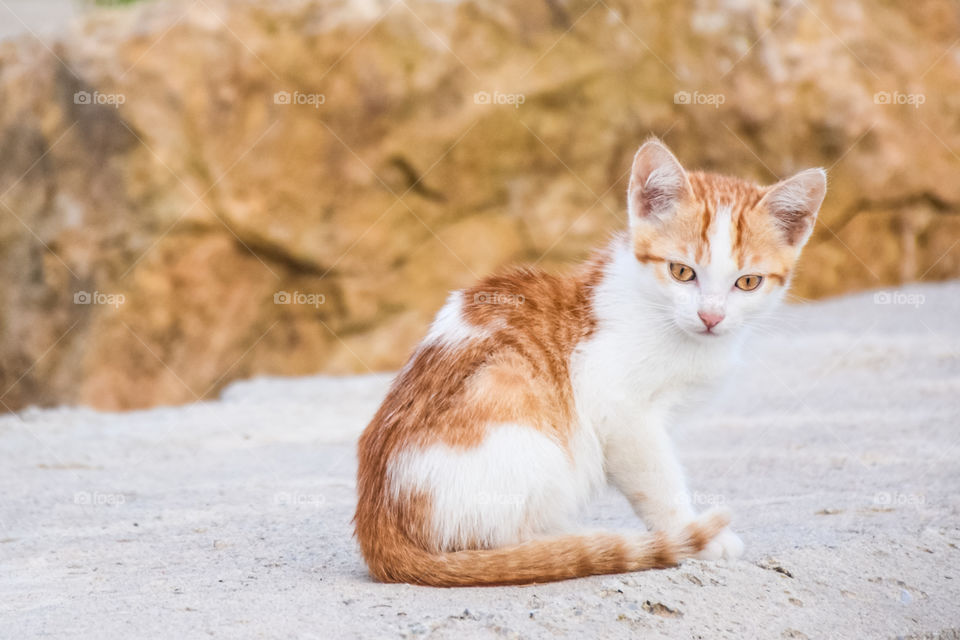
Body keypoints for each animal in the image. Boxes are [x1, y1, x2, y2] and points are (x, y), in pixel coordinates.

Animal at [352, 139, 824, 584]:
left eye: (748, 282)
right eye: (681, 272)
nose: (711, 317)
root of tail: (378, 529)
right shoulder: (619, 410)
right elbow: (658, 480)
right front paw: (692, 534)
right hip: (525, 431)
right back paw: (570, 545)